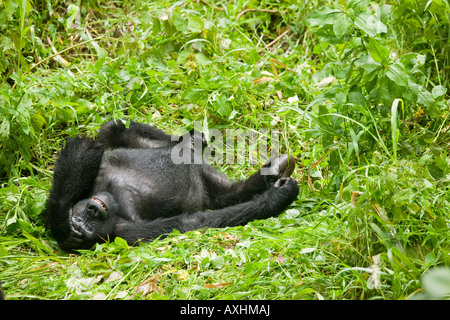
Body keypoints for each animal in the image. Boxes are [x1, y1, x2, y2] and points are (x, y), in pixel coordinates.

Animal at [44, 119, 298, 250]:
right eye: (85, 225)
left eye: (83, 218)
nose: (92, 210)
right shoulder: (124, 233)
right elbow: (190, 223)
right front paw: (277, 198)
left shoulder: (91, 182)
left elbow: (83, 151)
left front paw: (60, 218)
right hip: (207, 184)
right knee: (228, 195)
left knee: (112, 130)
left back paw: (189, 142)